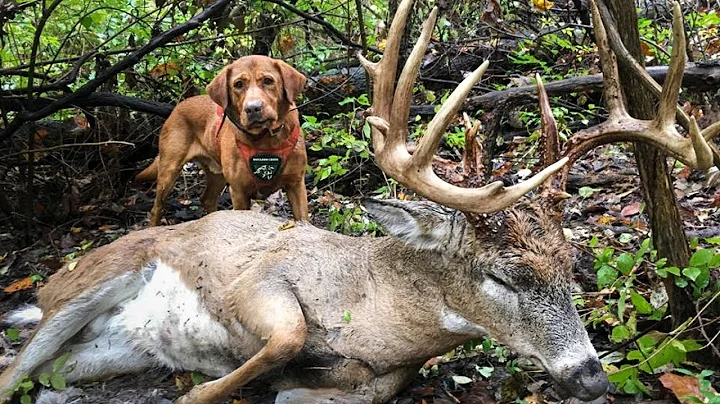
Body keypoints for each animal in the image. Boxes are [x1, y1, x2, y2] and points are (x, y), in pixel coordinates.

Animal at [1, 0, 718, 403]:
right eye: (502, 277)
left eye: (571, 269)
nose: (592, 378)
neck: (367, 305)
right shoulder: (257, 276)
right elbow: (276, 341)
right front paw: (217, 387)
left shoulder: (384, 371)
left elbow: (366, 384)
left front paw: (295, 386)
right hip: (101, 274)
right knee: (16, 367)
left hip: (106, 349)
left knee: (37, 373)